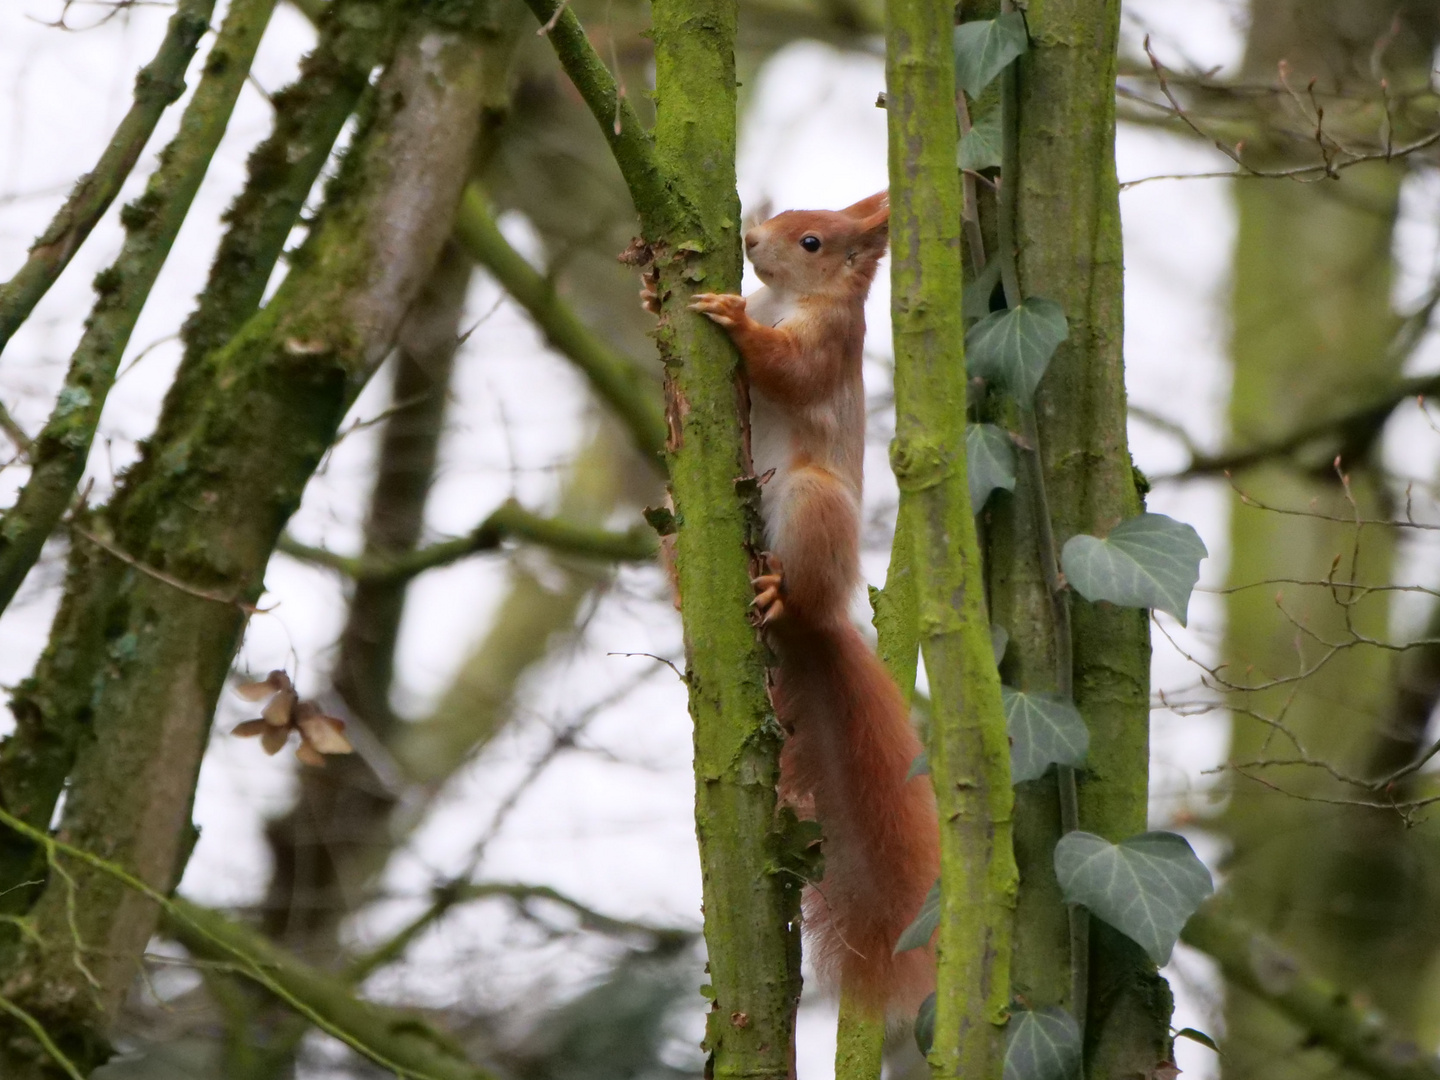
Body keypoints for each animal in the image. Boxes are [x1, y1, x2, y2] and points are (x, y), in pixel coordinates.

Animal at [648, 197, 938, 1025]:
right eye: (783, 214)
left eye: (812, 241)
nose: (749, 239)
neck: (788, 298)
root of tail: (820, 625)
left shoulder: (832, 344)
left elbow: (792, 367)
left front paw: (735, 322)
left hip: (812, 503)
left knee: (800, 586)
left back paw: (779, 596)